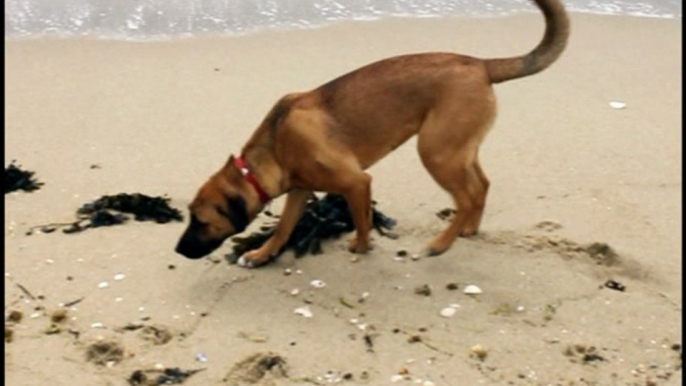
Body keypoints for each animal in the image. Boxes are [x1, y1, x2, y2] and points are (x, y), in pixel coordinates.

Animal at [176, 0, 568, 266]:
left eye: (201, 221)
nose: (178, 249)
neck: (273, 146)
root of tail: (481, 66)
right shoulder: (300, 190)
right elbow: (284, 228)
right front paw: (261, 254)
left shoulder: (356, 182)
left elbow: (362, 219)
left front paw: (361, 247)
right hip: (459, 149)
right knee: (482, 186)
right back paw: (468, 230)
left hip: (436, 153)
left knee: (468, 197)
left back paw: (442, 243)